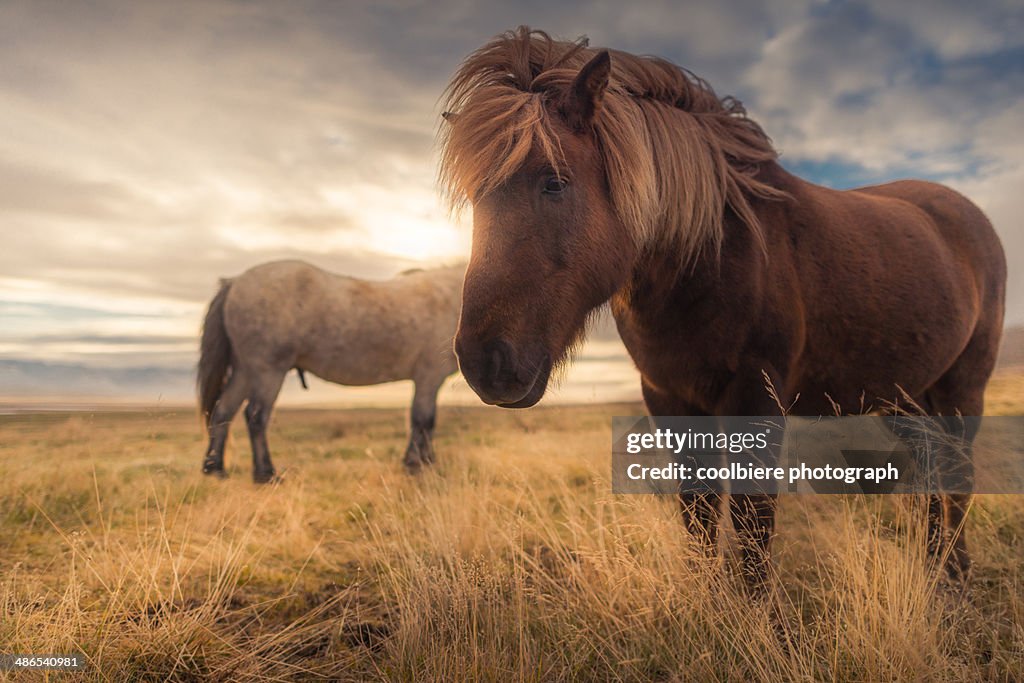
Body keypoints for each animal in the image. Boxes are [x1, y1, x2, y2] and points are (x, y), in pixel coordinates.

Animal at [197, 260, 462, 481]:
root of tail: (234, 283)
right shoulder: (428, 376)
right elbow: (423, 419)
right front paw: (416, 464)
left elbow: (425, 421)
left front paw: (424, 461)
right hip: (268, 371)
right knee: (256, 416)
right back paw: (266, 474)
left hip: (244, 371)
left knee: (223, 412)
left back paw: (215, 469)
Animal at [440, 28, 1007, 589]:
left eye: (554, 182)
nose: (484, 362)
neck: (709, 256)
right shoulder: (668, 398)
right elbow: (699, 514)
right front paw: (706, 597)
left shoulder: (758, 397)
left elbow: (752, 521)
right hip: (904, 397)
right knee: (931, 469)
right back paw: (933, 563)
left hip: (961, 390)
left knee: (956, 475)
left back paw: (954, 569)